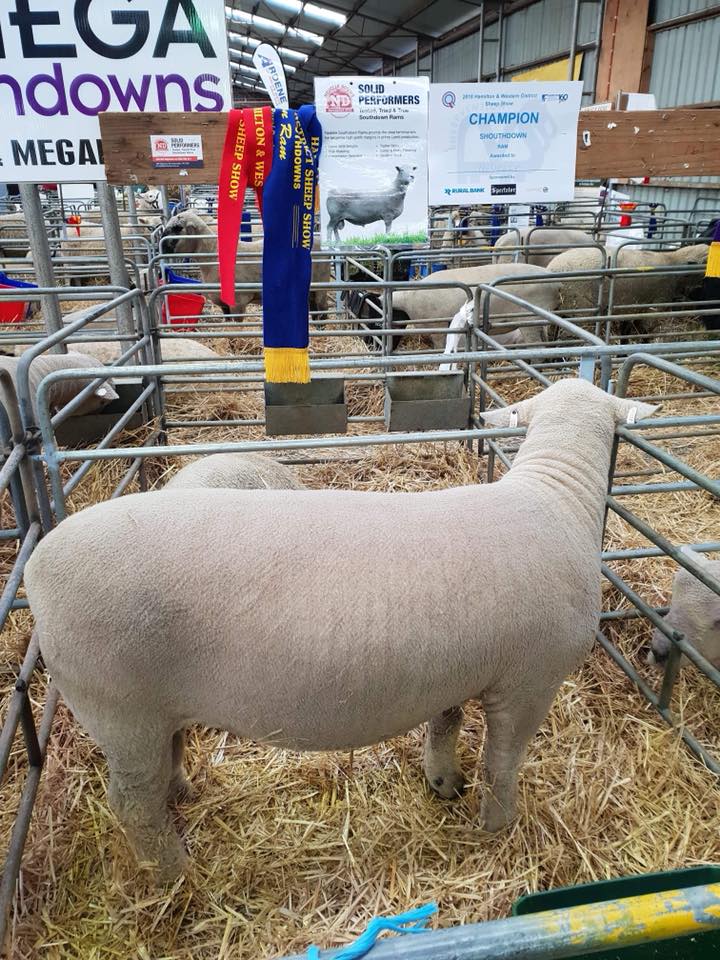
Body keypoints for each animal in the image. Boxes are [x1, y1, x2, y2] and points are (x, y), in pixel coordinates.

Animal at [390, 262, 560, 348]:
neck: (407, 300)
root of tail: (557, 286)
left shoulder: (436, 325)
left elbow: (440, 345)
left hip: (529, 318)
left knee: (538, 346)